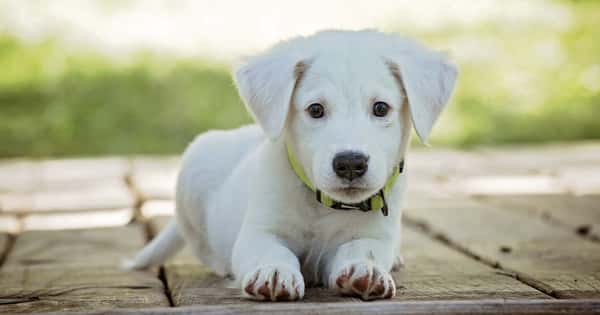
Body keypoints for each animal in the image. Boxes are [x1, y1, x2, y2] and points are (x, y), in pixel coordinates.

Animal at [129, 30, 458, 304]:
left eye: (381, 108)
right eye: (316, 110)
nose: (350, 163)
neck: (322, 206)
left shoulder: (374, 235)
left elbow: (364, 249)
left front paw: (365, 269)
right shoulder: (259, 231)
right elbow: (272, 250)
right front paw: (274, 272)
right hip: (195, 168)